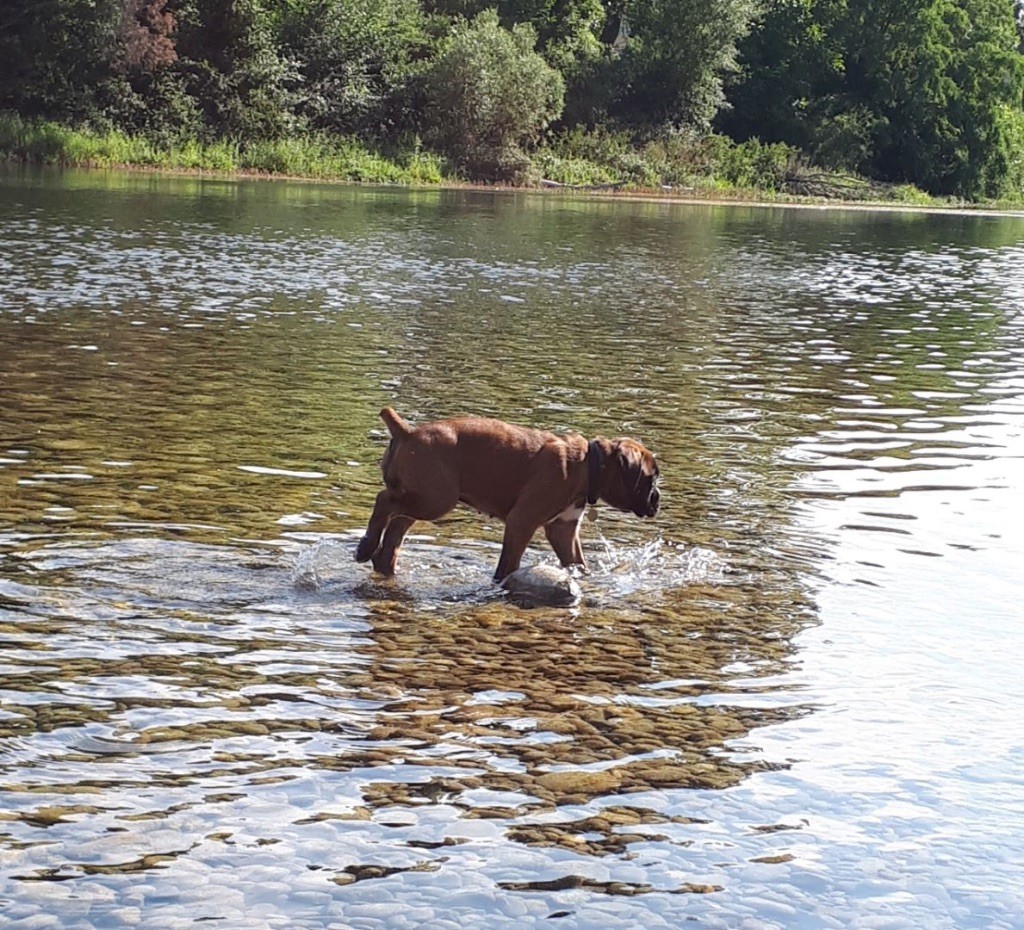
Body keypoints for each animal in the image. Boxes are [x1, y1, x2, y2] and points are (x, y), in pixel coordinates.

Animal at [356, 409, 659, 581]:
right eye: (650, 479)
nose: (657, 499)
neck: (587, 464)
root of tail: (407, 431)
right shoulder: (522, 522)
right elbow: (509, 562)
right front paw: (502, 582)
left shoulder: (563, 530)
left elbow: (578, 563)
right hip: (435, 500)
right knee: (384, 500)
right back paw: (366, 547)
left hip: (421, 499)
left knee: (393, 533)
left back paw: (380, 561)